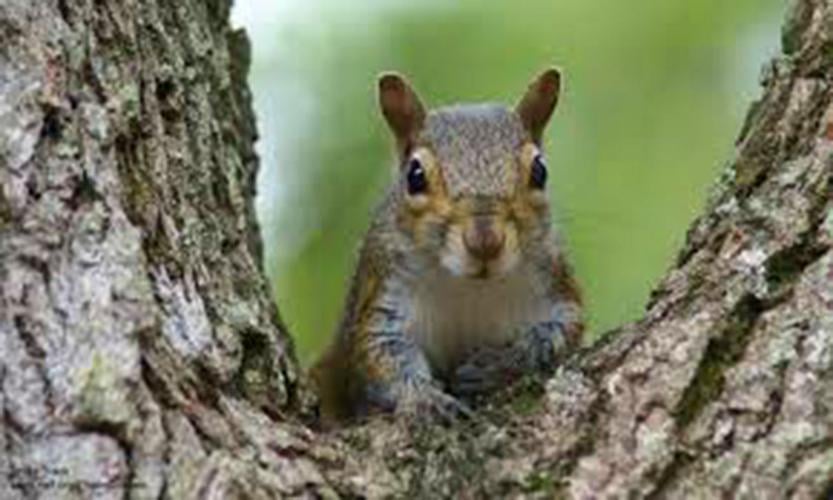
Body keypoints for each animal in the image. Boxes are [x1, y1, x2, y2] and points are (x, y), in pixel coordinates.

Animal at [310, 68, 584, 422]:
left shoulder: (552, 281)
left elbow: (563, 329)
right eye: (414, 175)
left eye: (540, 171)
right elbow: (381, 354)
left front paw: (503, 362)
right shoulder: (385, 291)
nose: (485, 242)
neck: (468, 285)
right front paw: (424, 397)